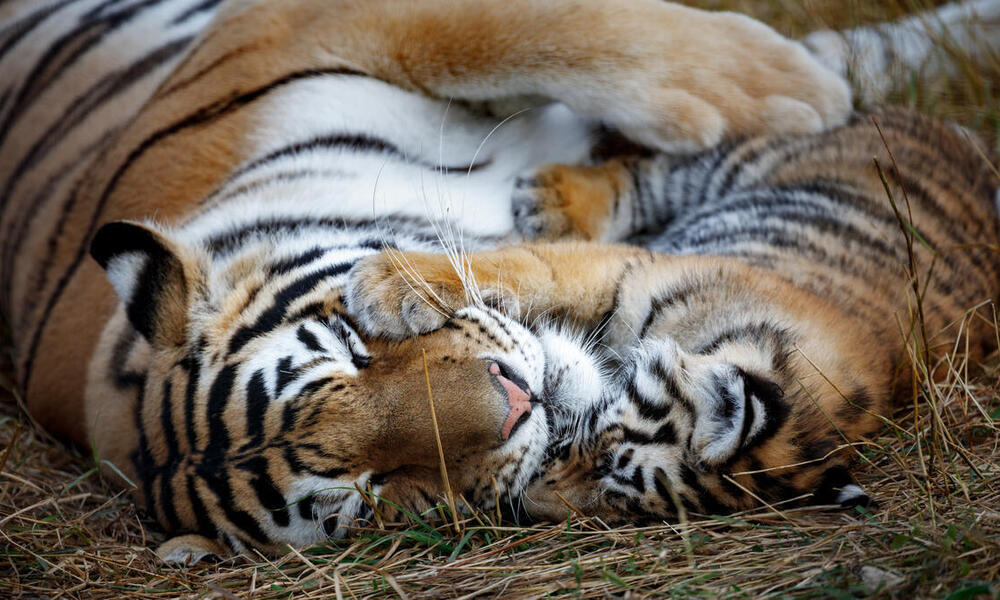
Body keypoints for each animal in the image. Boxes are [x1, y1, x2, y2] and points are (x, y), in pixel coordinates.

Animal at [0, 0, 996, 564]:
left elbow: (530, 30)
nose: (521, 404)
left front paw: (783, 86)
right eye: (368, 496)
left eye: (351, 349)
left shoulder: (298, 27)